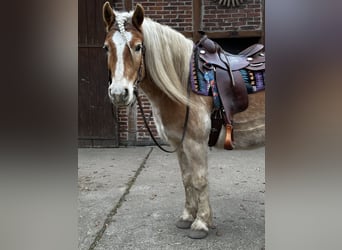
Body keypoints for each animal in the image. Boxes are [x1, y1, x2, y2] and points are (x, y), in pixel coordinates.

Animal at [102, 1, 264, 239]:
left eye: (138, 47)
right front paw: (187, 217)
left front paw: (201, 223)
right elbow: (187, 179)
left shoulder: (196, 143)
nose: (119, 94)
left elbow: (199, 179)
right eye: (106, 47)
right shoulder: (179, 143)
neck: (182, 83)